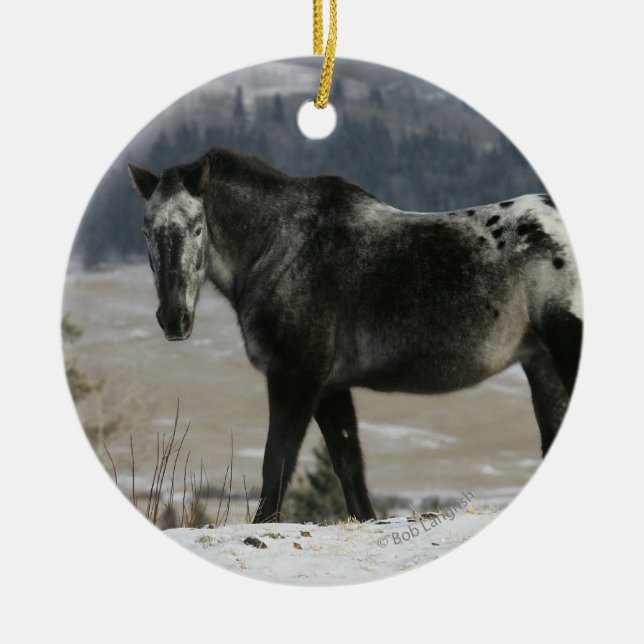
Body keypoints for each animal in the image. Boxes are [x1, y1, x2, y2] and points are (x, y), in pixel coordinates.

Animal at [128, 147, 582, 523]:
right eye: (146, 229)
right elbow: (348, 464)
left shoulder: (296, 376)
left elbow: (278, 461)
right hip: (541, 364)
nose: (173, 319)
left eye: (197, 227)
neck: (281, 247)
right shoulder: (329, 386)